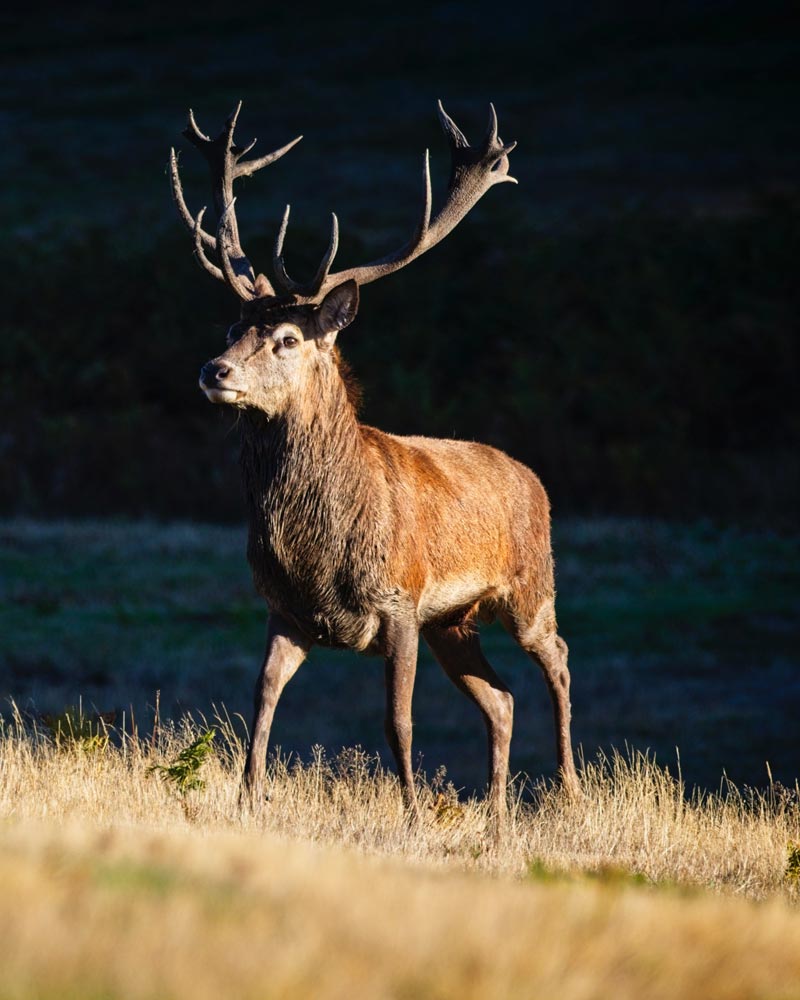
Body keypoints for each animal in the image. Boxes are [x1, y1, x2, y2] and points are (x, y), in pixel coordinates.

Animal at [170, 99, 580, 828]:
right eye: (232, 329)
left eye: (286, 339)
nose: (214, 371)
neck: (316, 548)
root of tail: (533, 479)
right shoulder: (285, 611)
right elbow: (260, 701)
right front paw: (248, 799)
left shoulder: (400, 602)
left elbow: (398, 720)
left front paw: (413, 817)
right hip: (455, 622)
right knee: (500, 697)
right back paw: (496, 815)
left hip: (529, 586)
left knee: (557, 658)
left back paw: (569, 791)